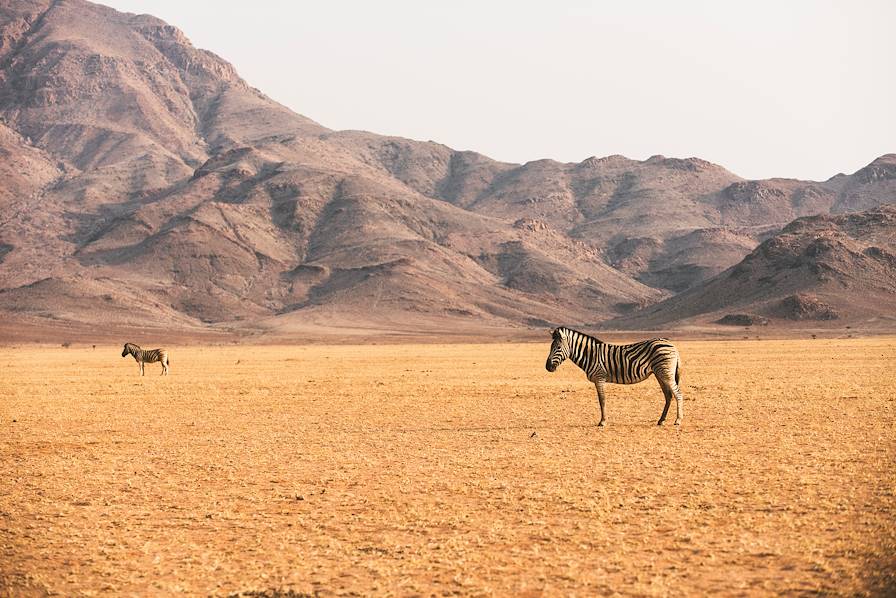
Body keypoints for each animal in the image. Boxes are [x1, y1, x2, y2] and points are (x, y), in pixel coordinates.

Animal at [544, 328, 688, 426]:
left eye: (558, 347)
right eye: (550, 347)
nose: (547, 367)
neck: (590, 355)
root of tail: (673, 346)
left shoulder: (599, 377)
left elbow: (602, 400)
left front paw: (602, 421)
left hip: (666, 373)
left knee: (678, 394)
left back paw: (678, 420)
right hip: (660, 374)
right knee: (668, 395)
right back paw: (661, 420)